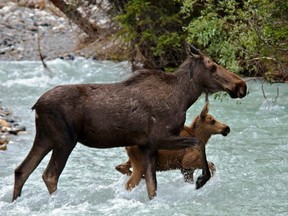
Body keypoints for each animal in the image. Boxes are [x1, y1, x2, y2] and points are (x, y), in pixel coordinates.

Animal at [11, 44, 245, 202]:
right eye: (213, 66)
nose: (241, 85)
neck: (184, 97)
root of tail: (36, 105)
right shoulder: (160, 137)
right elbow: (199, 143)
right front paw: (201, 180)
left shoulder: (146, 145)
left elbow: (151, 186)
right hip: (64, 139)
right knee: (49, 175)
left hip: (45, 137)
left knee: (22, 170)